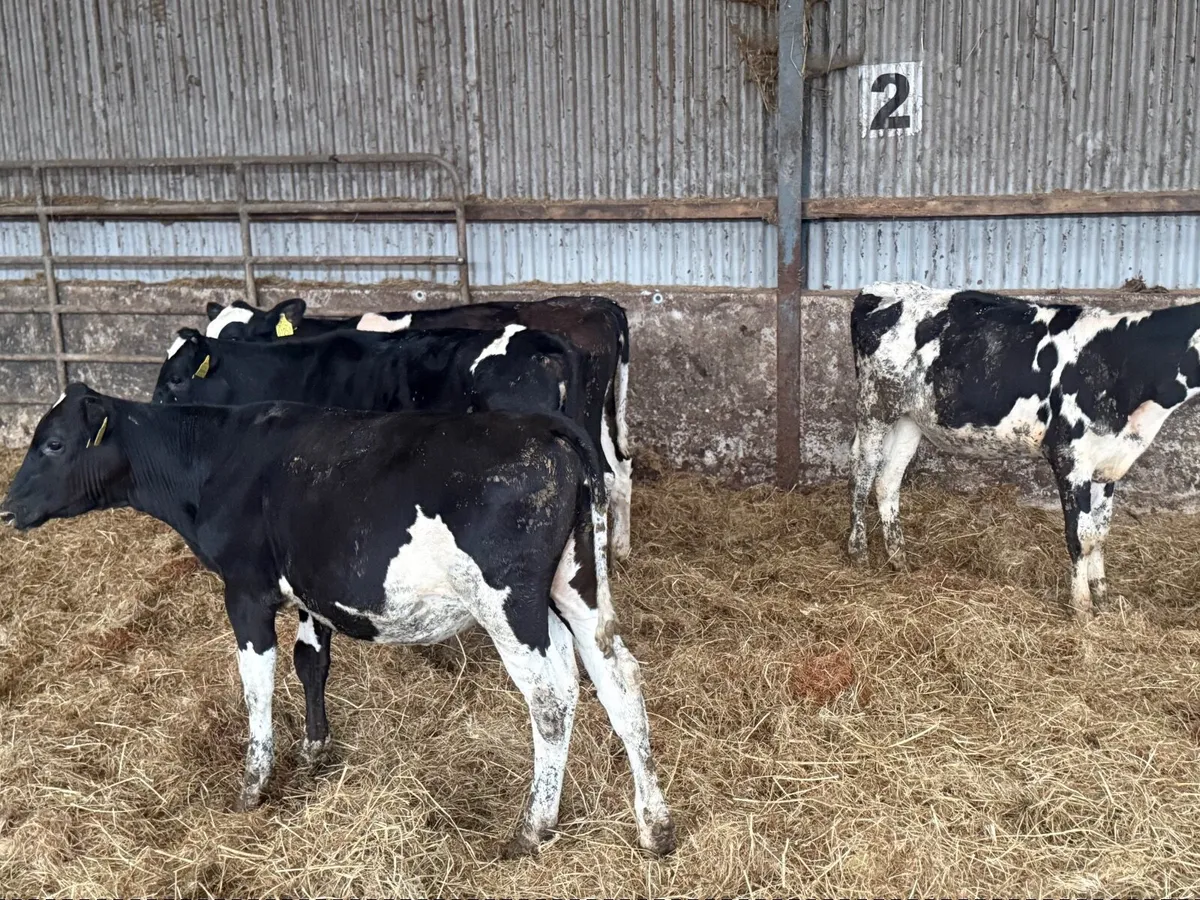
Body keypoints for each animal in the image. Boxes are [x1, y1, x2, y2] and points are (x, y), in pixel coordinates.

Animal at [0, 383, 677, 858]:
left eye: (53, 443)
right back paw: (655, 825)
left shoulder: (246, 590)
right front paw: (315, 747)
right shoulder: (311, 591)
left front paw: (253, 784)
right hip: (576, 586)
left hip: (509, 604)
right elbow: (311, 662)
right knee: (618, 679)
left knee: (552, 698)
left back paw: (533, 828)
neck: (216, 457)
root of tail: (546, 425)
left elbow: (257, 683)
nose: (8, 505)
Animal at [848, 281, 1200, 622]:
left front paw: (1102, 595)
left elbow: (1100, 533)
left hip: (910, 419)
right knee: (863, 475)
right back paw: (858, 552)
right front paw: (1082, 606)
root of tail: (877, 289)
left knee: (887, 481)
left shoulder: (1109, 460)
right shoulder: (1069, 457)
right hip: (874, 408)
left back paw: (899, 558)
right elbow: (1080, 536)